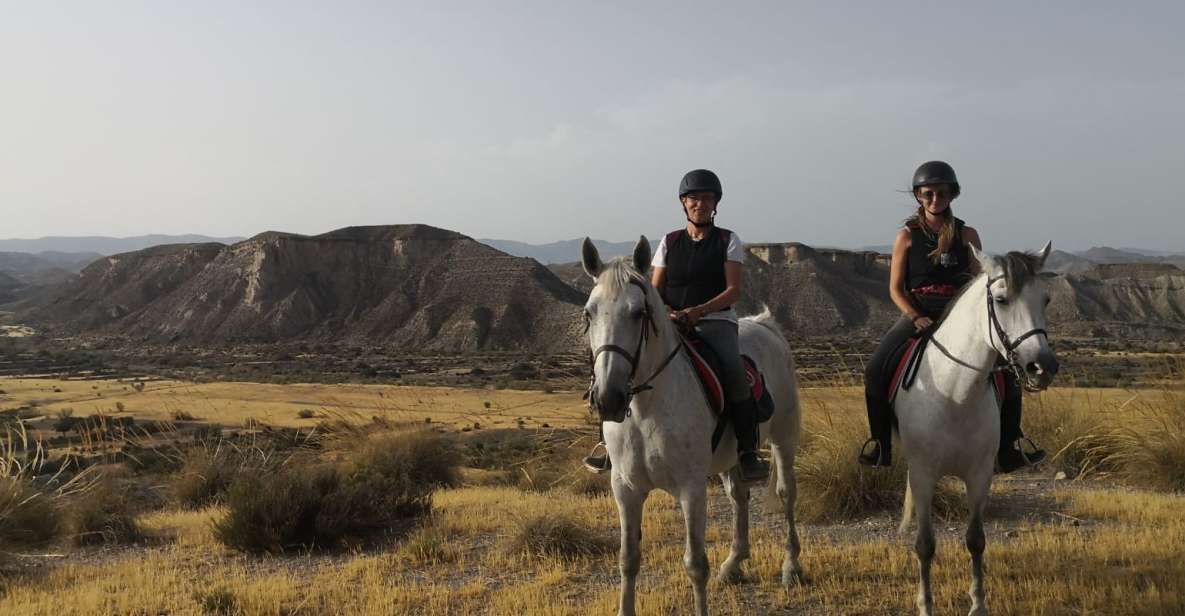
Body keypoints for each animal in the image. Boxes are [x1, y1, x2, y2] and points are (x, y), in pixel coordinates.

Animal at [583, 236, 805, 616]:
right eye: (589, 312)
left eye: (638, 313)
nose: (608, 398)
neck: (645, 409)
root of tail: (764, 323)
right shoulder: (625, 488)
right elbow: (628, 559)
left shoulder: (691, 488)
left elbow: (695, 564)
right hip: (733, 456)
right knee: (739, 496)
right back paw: (734, 564)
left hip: (783, 438)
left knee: (785, 494)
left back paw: (791, 567)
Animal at [891, 242, 1061, 611]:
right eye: (1001, 299)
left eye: (1046, 299)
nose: (1043, 367)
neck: (955, 392)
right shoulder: (922, 474)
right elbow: (924, 544)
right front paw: (925, 605)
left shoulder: (980, 474)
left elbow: (975, 540)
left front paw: (977, 604)